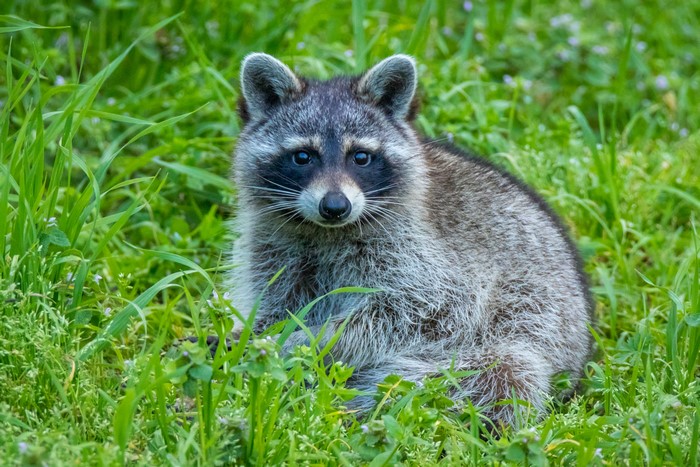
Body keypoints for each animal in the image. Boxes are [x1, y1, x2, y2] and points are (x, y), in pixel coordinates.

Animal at [227, 53, 593, 427]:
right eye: (303, 156)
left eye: (360, 156)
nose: (335, 207)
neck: (325, 231)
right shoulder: (276, 247)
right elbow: (274, 302)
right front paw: (256, 334)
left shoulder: (426, 260)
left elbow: (420, 312)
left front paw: (313, 339)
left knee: (505, 372)